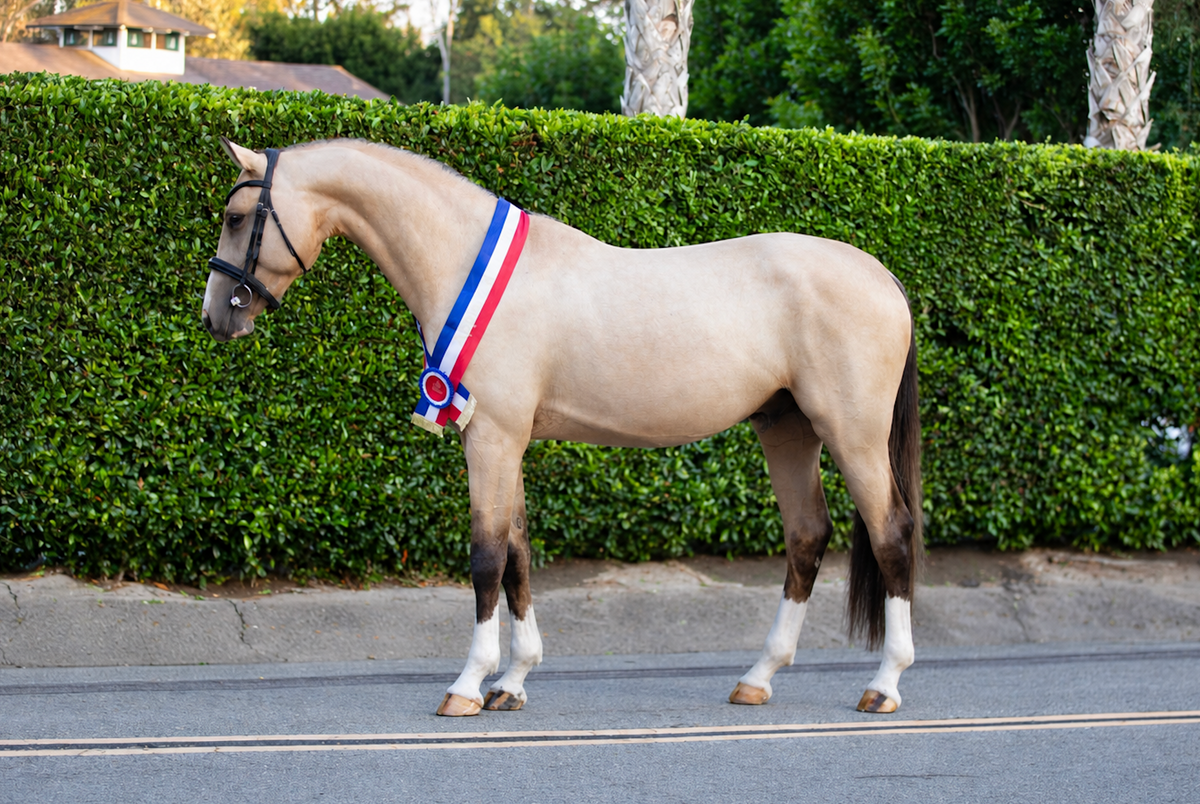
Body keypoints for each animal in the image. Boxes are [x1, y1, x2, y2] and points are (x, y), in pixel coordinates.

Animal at [202, 137, 923, 717]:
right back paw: (758, 678)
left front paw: (467, 685)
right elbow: (518, 554)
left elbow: (486, 557)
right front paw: (512, 682)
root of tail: (882, 274)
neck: (467, 266)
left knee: (891, 534)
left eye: (236, 218)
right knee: (807, 537)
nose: (216, 318)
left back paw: (885, 685)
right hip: (786, 429)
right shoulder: (504, 441)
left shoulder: (491, 438)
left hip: (851, 434)